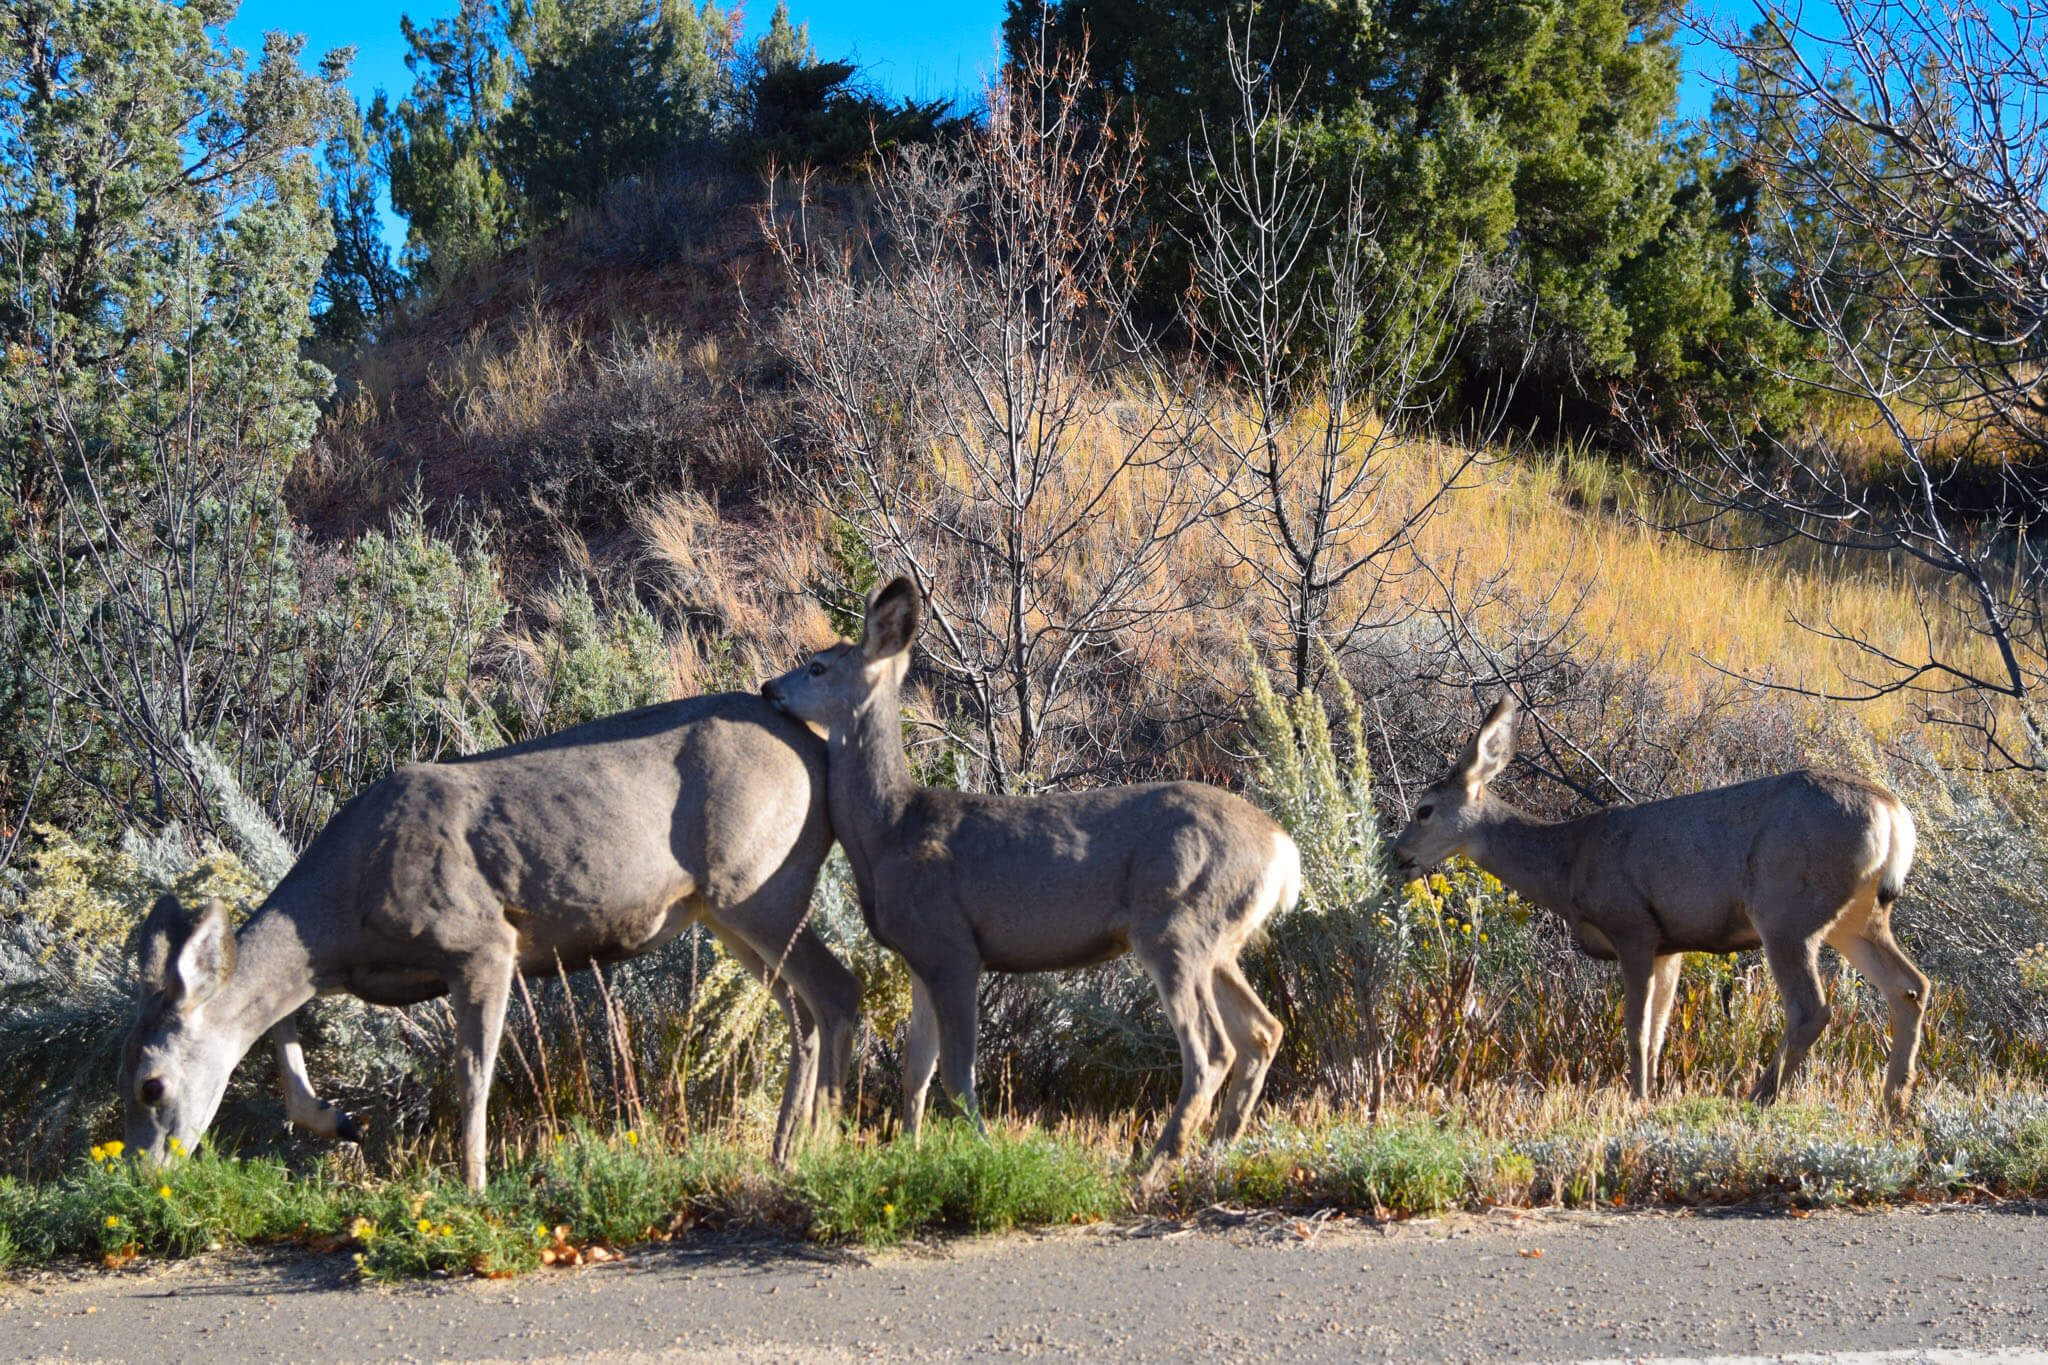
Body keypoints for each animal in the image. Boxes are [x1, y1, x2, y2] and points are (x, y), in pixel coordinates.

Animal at [119, 695, 856, 1186]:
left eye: (151, 1086)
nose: (135, 1174)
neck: (342, 909)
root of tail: (818, 750)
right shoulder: (346, 970)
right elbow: (280, 1021)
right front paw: (337, 1119)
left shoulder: (480, 941)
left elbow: (472, 1073)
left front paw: (472, 1185)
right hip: (728, 913)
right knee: (803, 1017)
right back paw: (783, 1152)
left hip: (756, 884)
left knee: (838, 993)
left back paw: (829, 1146)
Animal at [761, 581, 1302, 1170]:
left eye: (816, 667)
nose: (768, 688)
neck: (890, 830)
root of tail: (1282, 850)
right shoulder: (919, 957)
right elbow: (915, 1072)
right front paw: (909, 1152)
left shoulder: (952, 947)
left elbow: (957, 1076)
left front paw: (984, 1151)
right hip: (1219, 943)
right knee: (1263, 1031)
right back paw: (1215, 1151)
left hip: (1175, 924)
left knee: (1211, 1049)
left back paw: (1153, 1166)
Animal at [1384, 699, 1925, 1113]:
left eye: (1424, 810)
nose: (1398, 856)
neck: (1568, 862)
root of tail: (1893, 813)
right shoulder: (1671, 944)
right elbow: (1661, 1029)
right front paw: (1652, 1095)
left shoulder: (1634, 925)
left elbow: (1637, 1029)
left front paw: (1637, 1099)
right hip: (1858, 918)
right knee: (1910, 986)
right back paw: (1894, 1101)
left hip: (1787, 912)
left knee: (1811, 1008)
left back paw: (1760, 1097)